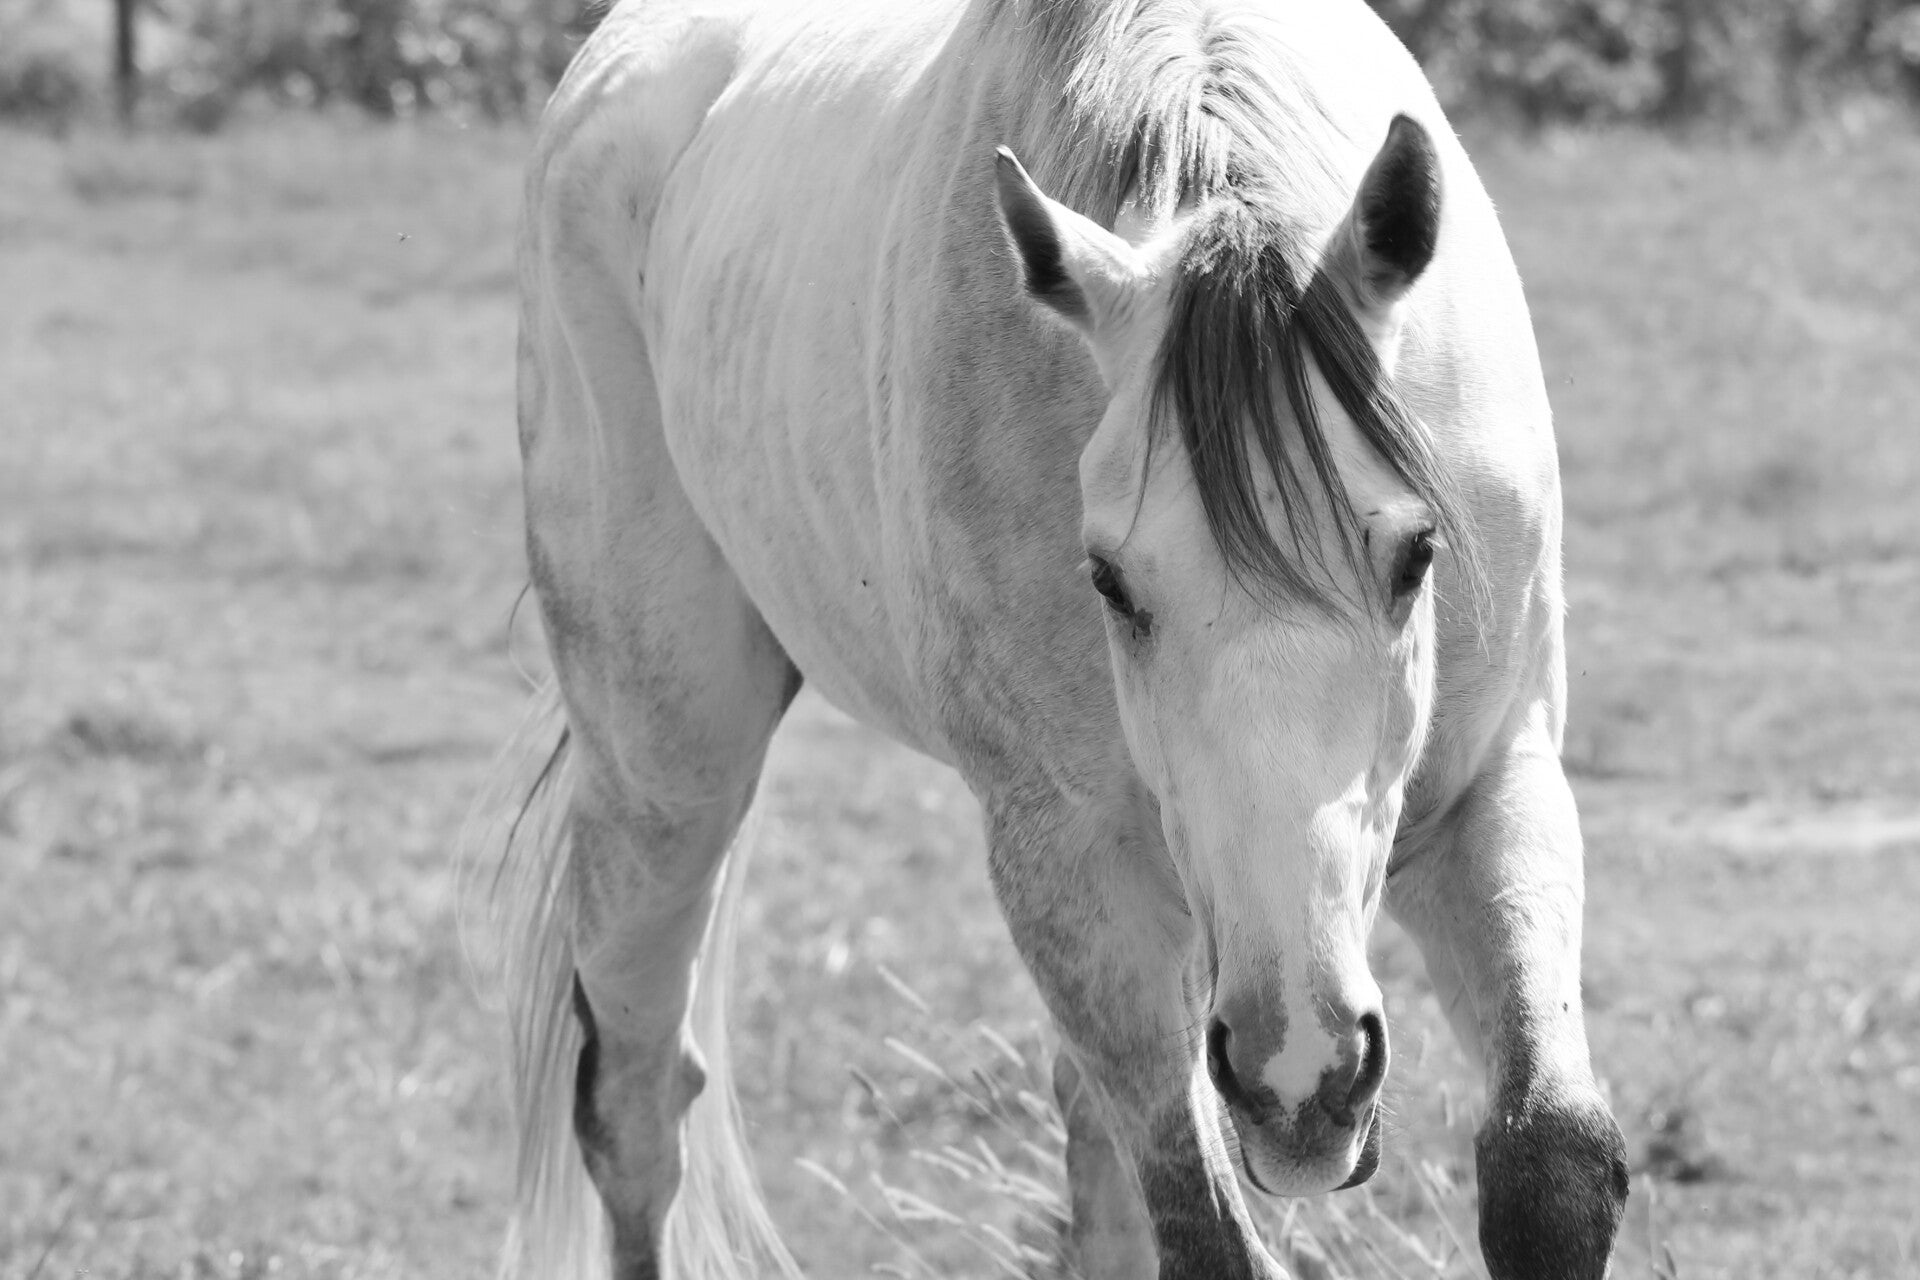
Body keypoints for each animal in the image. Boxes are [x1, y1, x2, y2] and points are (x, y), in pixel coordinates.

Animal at [490, 0, 1630, 1276]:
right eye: (1110, 582)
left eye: (1417, 553)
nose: (1301, 1076)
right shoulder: (1069, 858)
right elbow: (1204, 1230)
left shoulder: (1494, 778)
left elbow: (1550, 1167)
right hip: (665, 765)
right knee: (636, 1104)